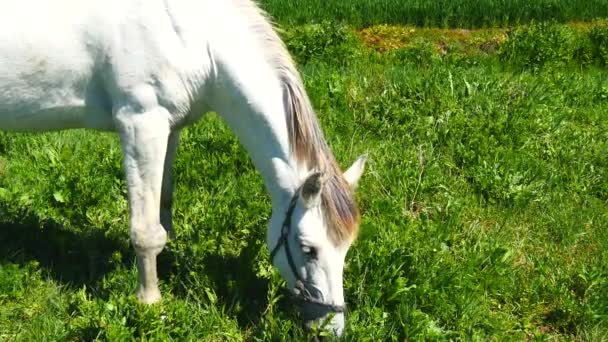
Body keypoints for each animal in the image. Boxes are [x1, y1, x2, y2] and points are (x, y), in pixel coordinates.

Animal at [0, 0, 366, 336]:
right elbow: (146, 232)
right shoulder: (141, 123)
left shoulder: (169, 127)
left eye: (346, 248)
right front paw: (150, 304)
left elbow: (164, 206)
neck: (191, 35)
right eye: (308, 249)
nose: (332, 328)